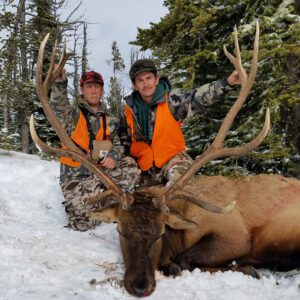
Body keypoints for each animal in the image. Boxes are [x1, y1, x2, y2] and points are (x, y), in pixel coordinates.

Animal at [29, 22, 300, 298]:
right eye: (120, 230)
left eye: (160, 233)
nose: (139, 286)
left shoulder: (233, 233)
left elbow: (183, 261)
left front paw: (246, 268)